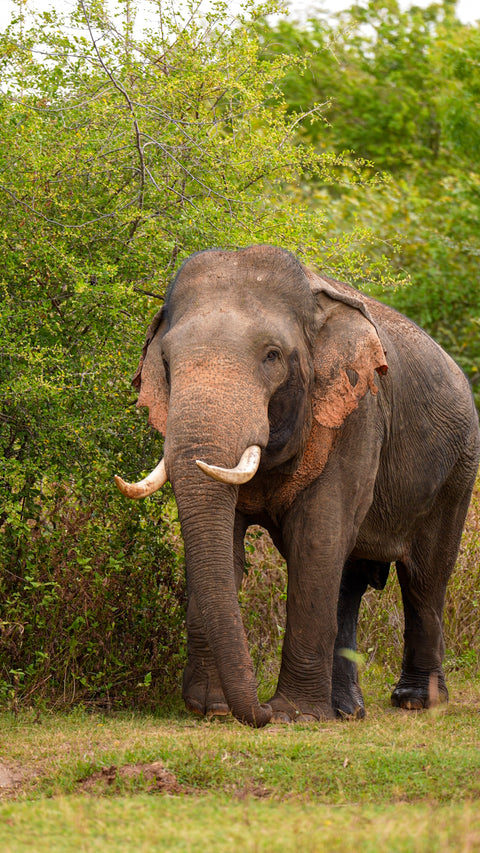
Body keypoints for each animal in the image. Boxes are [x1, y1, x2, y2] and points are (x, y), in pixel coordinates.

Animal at [115, 244, 480, 727]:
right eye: (168, 365)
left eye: (272, 355)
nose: (260, 712)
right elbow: (227, 547)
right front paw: (210, 709)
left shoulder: (357, 412)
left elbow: (315, 541)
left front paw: (295, 716)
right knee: (350, 581)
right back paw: (347, 711)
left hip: (459, 469)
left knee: (425, 578)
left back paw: (415, 702)